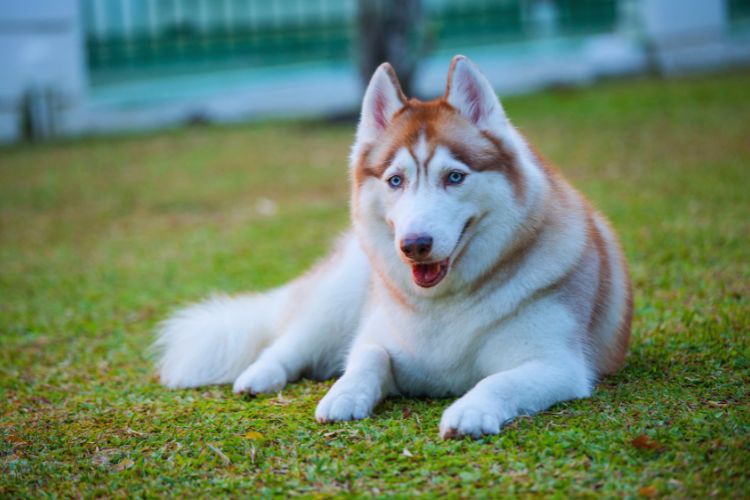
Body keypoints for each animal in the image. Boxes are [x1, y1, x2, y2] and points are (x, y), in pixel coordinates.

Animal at [154, 54, 636, 438]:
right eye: (395, 180)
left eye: (454, 177)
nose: (414, 245)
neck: (444, 305)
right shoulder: (377, 336)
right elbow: (367, 357)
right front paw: (344, 393)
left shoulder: (557, 365)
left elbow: (498, 381)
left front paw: (470, 410)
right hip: (337, 298)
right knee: (288, 343)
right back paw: (259, 376)